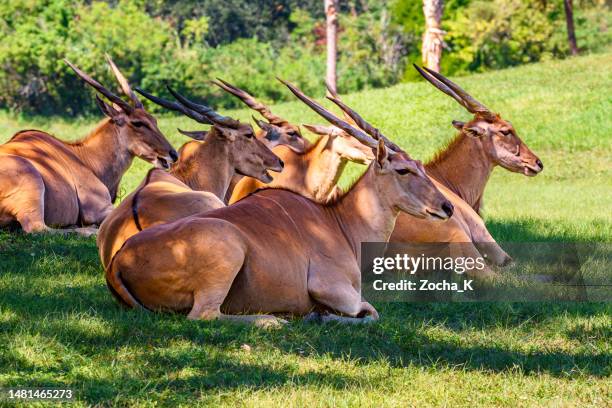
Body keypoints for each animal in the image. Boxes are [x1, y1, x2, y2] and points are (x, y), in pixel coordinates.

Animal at [0, 57, 177, 236]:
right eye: (138, 123)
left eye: (154, 120)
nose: (173, 154)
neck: (85, 156)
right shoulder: (99, 209)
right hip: (30, 179)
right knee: (38, 228)